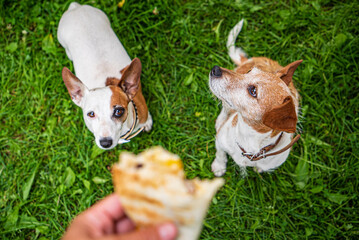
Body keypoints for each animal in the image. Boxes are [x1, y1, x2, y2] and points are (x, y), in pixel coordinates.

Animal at [210, 19, 302, 176]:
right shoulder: (220, 141)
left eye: (253, 91)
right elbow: (220, 153)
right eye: (249, 72)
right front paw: (219, 166)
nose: (215, 69)